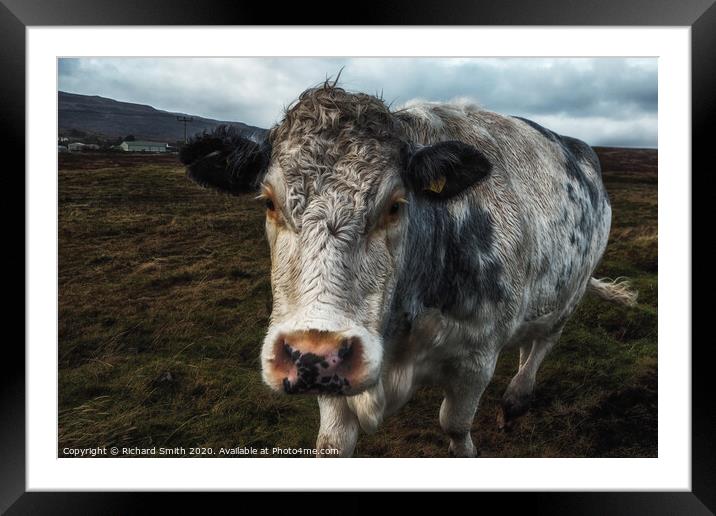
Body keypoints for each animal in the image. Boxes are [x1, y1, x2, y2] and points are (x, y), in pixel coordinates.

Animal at [180, 80, 636, 456]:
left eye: (396, 205)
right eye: (269, 201)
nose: (314, 354)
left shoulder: (476, 360)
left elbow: (456, 427)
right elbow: (332, 443)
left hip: (570, 294)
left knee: (541, 345)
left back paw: (515, 401)